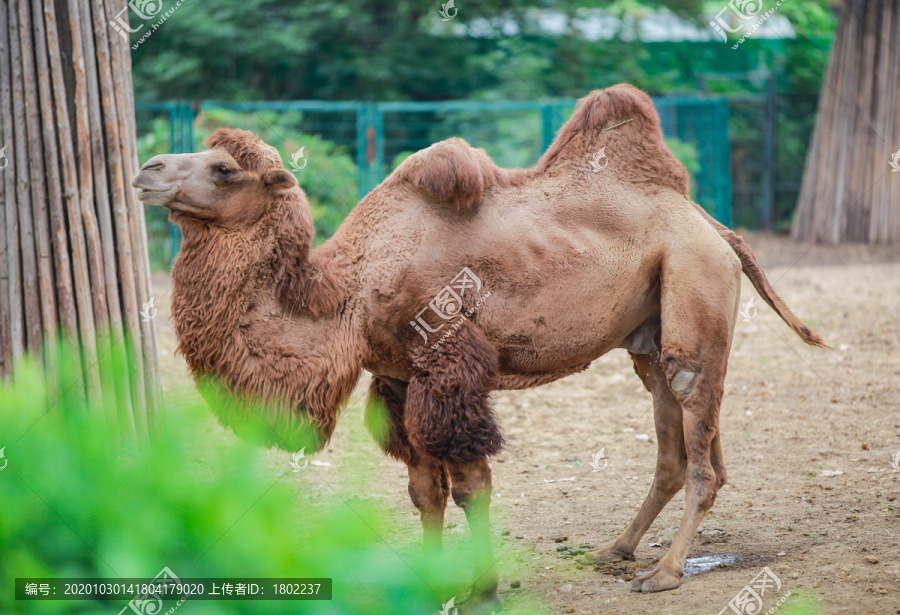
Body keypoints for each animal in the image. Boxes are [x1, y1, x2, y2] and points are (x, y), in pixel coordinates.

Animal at [134, 84, 828, 612]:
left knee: (699, 442)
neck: (347, 293)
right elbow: (424, 490)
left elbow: (471, 485)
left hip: (693, 293)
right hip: (649, 340)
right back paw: (615, 549)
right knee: (675, 449)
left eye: (224, 170)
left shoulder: (449, 365)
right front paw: (429, 580)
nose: (147, 169)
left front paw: (484, 589)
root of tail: (712, 223)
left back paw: (663, 574)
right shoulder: (398, 378)